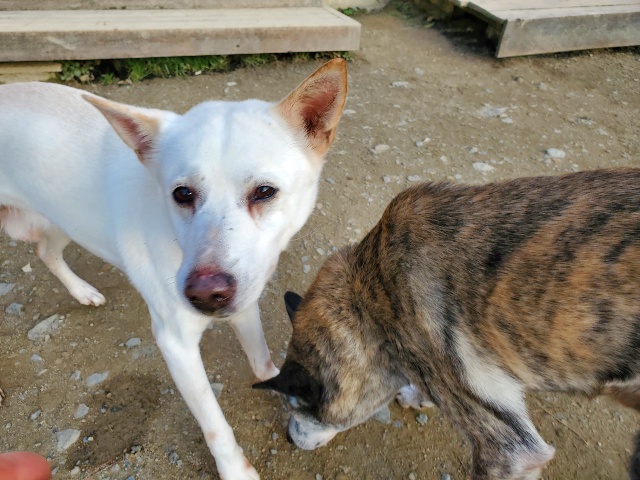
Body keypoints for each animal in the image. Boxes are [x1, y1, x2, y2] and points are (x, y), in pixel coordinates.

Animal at [0, 58, 347, 480]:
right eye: (182, 194)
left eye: (264, 192)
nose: (206, 295)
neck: (175, 240)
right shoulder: (176, 345)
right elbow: (215, 425)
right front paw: (235, 470)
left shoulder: (244, 299)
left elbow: (262, 357)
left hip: (63, 220)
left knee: (46, 251)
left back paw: (83, 291)